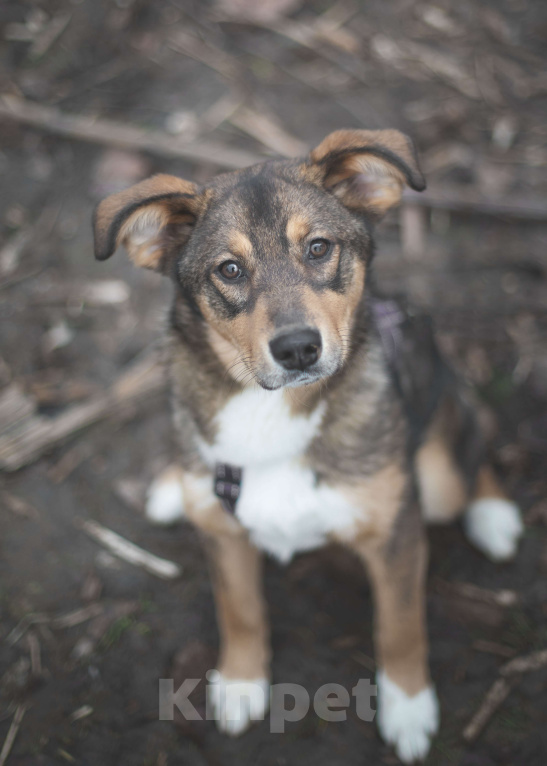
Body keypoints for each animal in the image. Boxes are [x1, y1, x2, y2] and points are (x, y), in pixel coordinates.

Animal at [95, 130, 528, 760]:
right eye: (230, 269)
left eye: (320, 248)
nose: (298, 348)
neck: (269, 412)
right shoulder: (226, 537)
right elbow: (240, 610)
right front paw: (241, 683)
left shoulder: (396, 535)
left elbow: (400, 626)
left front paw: (408, 708)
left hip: (440, 472)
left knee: (474, 444)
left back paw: (494, 515)